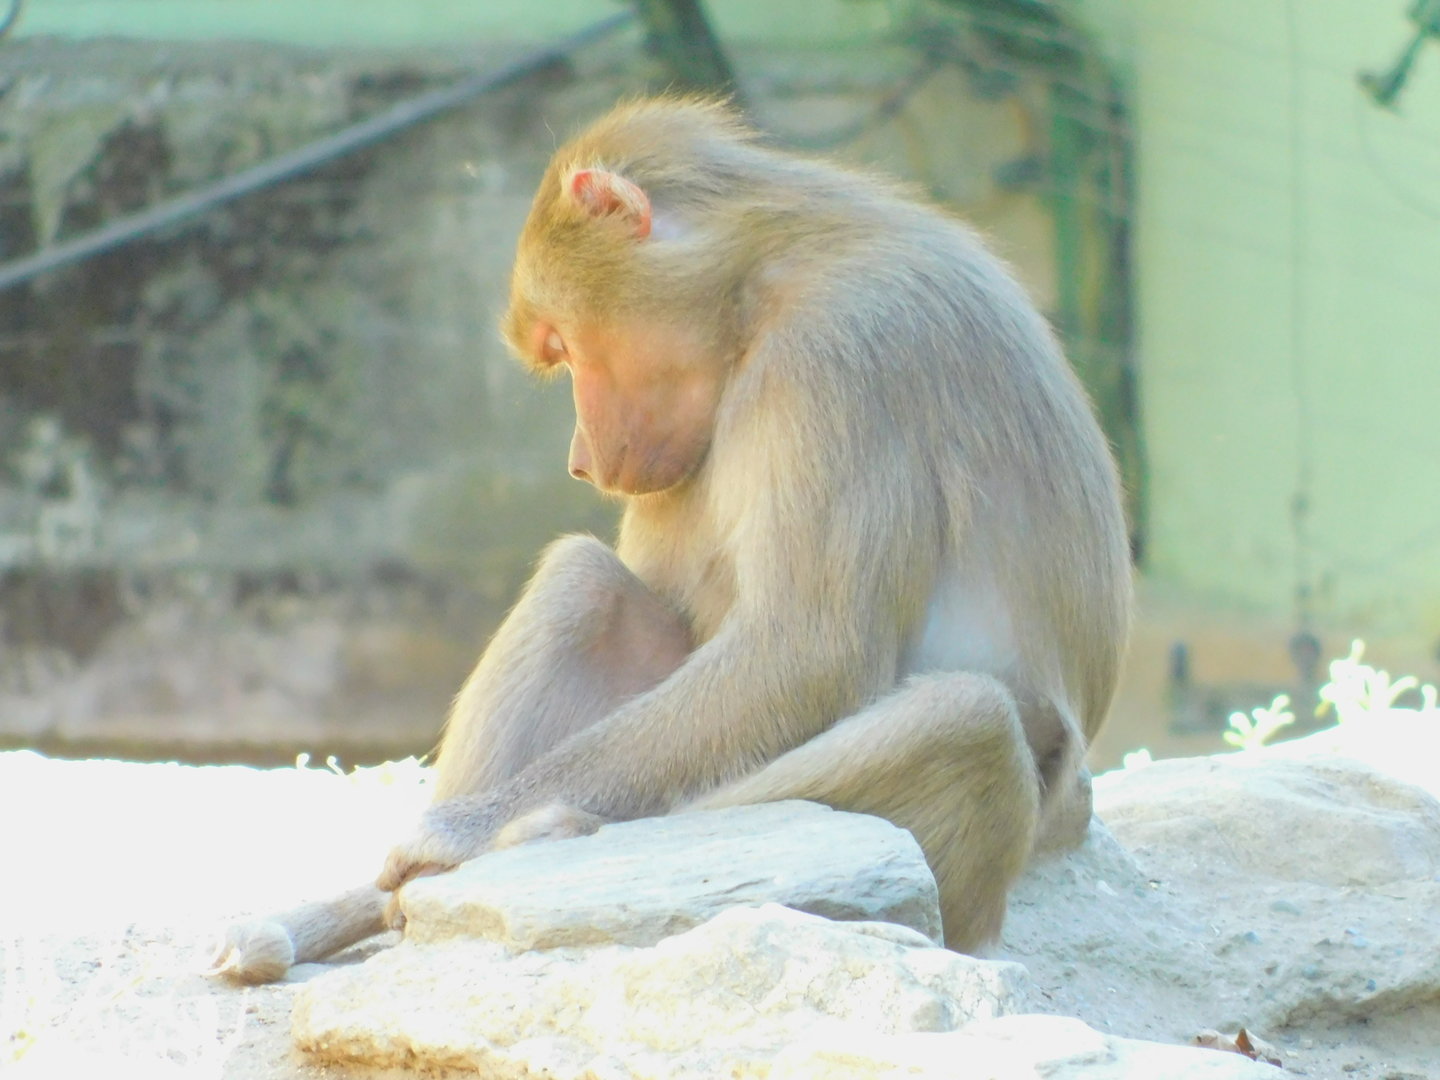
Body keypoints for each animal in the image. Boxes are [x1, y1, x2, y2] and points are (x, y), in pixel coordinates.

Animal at [210, 96, 1130, 985]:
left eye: (564, 346)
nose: (581, 460)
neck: (762, 276)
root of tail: (1074, 818)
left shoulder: (840, 357)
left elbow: (810, 650)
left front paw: (459, 833)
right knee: (586, 581)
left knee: (966, 720)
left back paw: (543, 833)